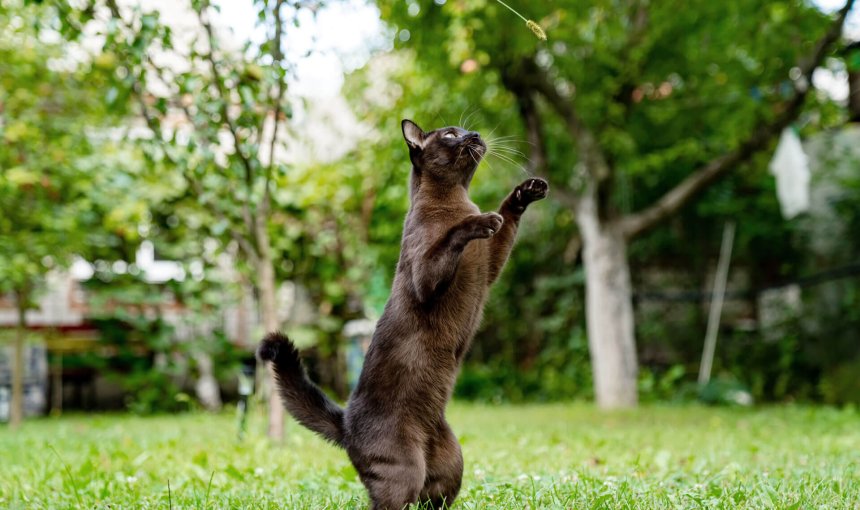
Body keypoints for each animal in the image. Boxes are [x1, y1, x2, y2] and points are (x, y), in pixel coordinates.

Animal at [258, 119, 548, 510]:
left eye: (465, 130)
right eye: (451, 135)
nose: (474, 136)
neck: (458, 201)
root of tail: (346, 424)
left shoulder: (491, 264)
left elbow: (507, 217)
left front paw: (528, 191)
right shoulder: (425, 274)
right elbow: (454, 234)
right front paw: (481, 220)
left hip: (451, 464)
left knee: (431, 498)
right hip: (405, 469)